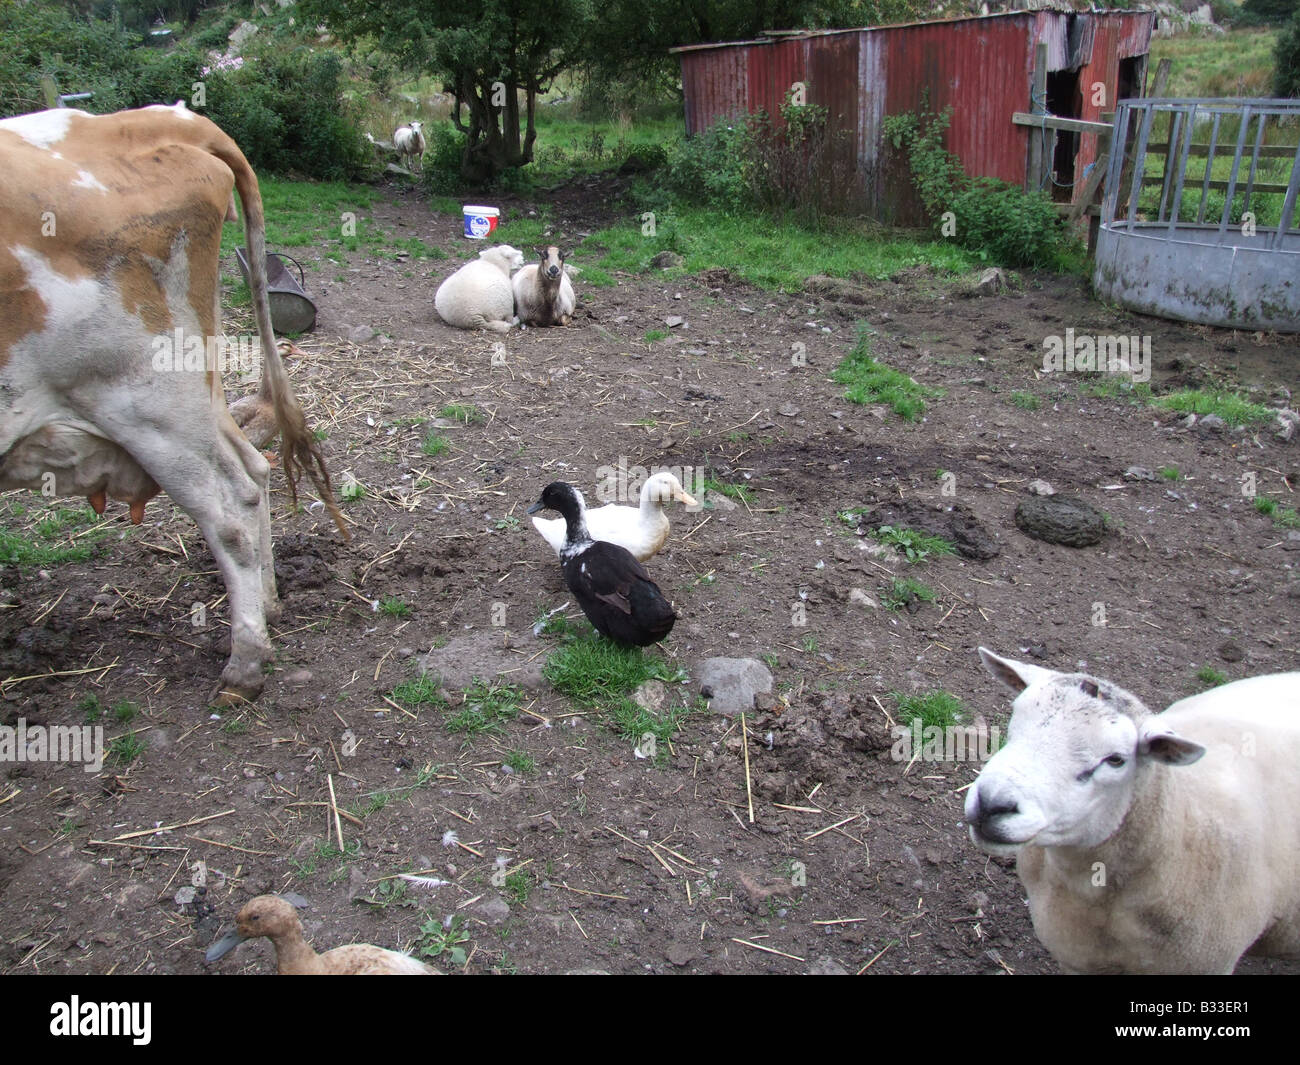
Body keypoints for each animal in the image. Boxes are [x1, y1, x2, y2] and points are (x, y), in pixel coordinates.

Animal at [0, 105, 345, 707]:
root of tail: (168, 119)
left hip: (149, 404)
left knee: (231, 503)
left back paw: (244, 664)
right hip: (195, 393)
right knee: (254, 472)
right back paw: (269, 605)